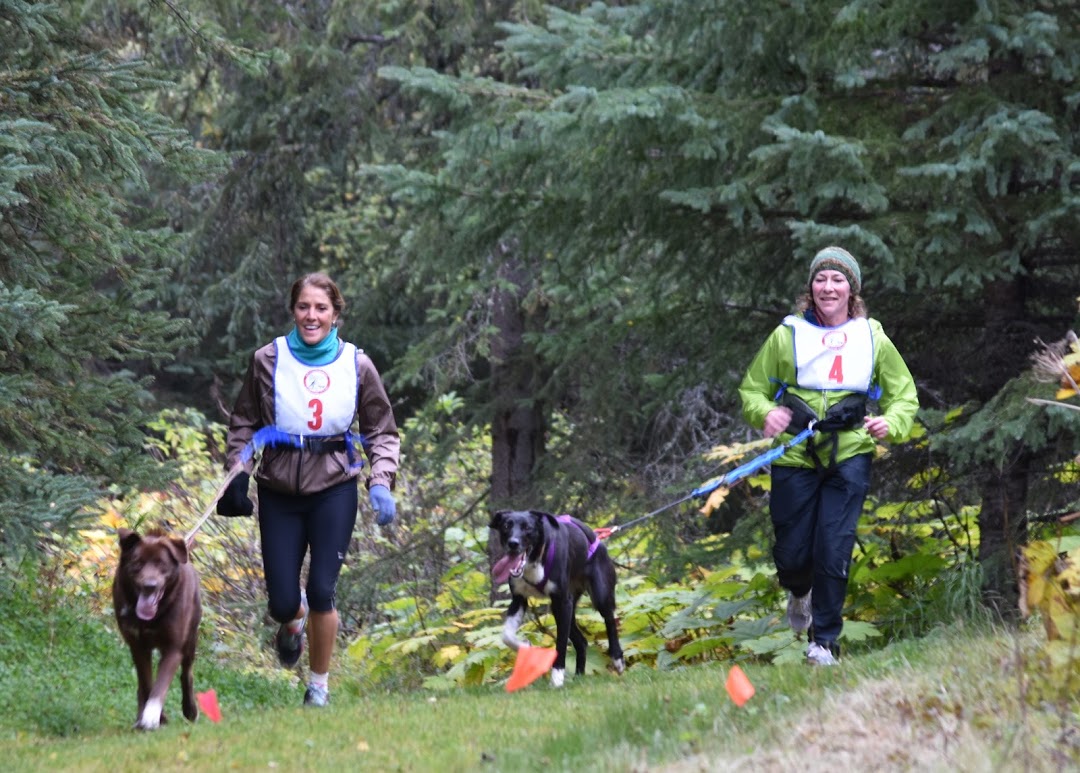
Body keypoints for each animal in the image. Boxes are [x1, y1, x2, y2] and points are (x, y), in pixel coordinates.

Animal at [115, 524, 203, 729]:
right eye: (137, 563)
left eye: (162, 564)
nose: (150, 586)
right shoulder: (138, 646)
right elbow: (147, 684)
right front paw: (156, 717)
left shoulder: (173, 648)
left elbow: (160, 685)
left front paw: (151, 717)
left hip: (191, 639)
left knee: (187, 674)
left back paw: (190, 710)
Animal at [490, 509, 626, 686]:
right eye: (506, 526)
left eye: (527, 528)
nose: (513, 543)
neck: (535, 562)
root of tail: (598, 541)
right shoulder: (519, 599)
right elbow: (506, 636)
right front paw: (526, 647)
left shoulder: (562, 601)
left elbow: (560, 644)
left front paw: (557, 678)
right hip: (563, 608)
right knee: (581, 642)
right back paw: (579, 676)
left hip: (599, 595)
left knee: (610, 621)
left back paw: (617, 658)